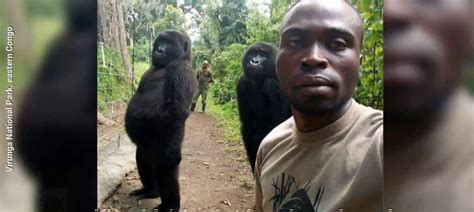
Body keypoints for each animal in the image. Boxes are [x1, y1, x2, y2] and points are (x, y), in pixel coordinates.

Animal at [126, 29, 196, 210]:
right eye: (160, 42)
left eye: (169, 44)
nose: (159, 50)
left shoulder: (181, 70)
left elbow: (176, 110)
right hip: (145, 150)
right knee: (142, 158)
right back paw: (150, 191)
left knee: (165, 168)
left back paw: (170, 205)